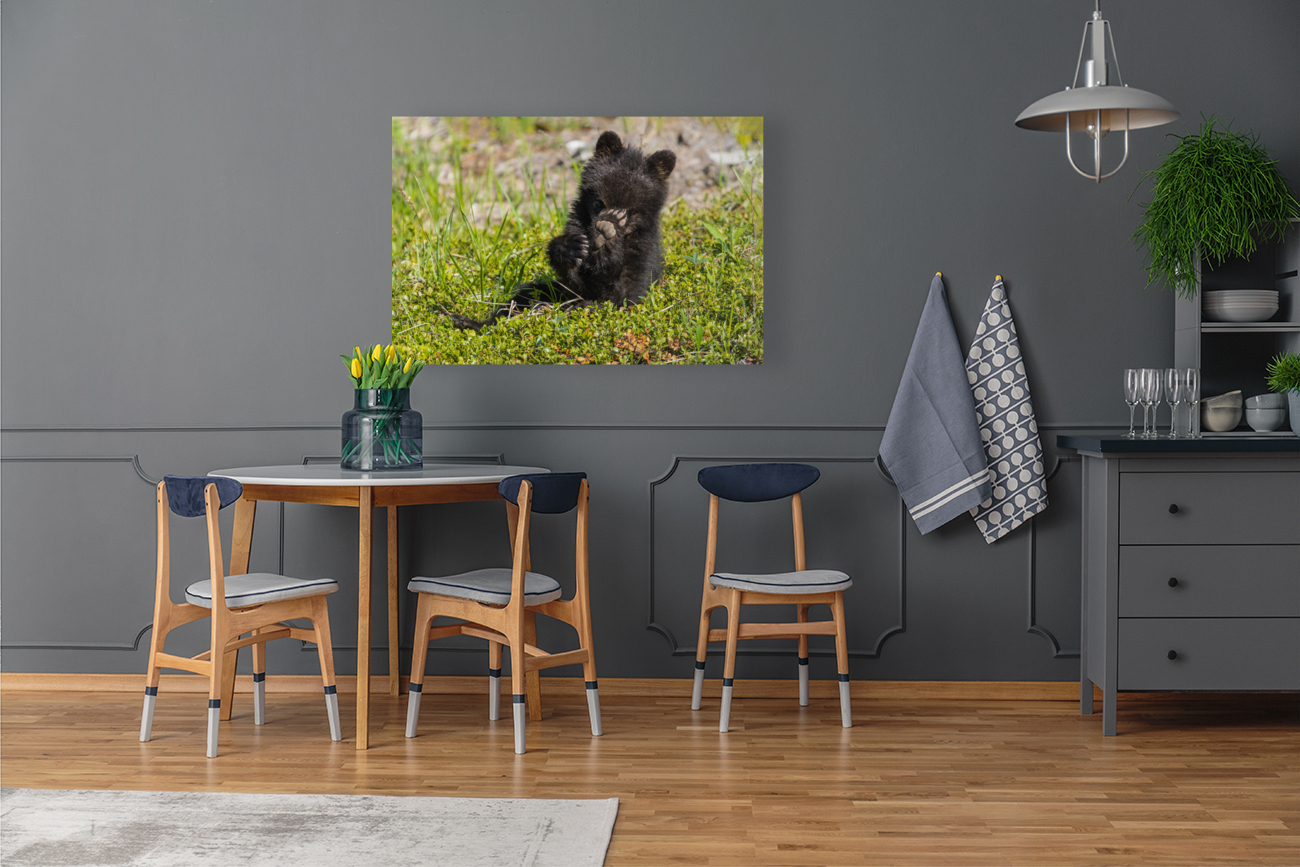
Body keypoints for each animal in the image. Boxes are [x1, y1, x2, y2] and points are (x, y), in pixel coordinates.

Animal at [451, 131, 676, 330]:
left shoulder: (642, 253)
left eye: (628, 211)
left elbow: (625, 294)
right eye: (599, 203)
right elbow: (575, 280)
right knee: (524, 296)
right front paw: (571, 248)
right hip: (550, 291)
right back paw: (470, 322)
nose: (605, 223)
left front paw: (606, 239)